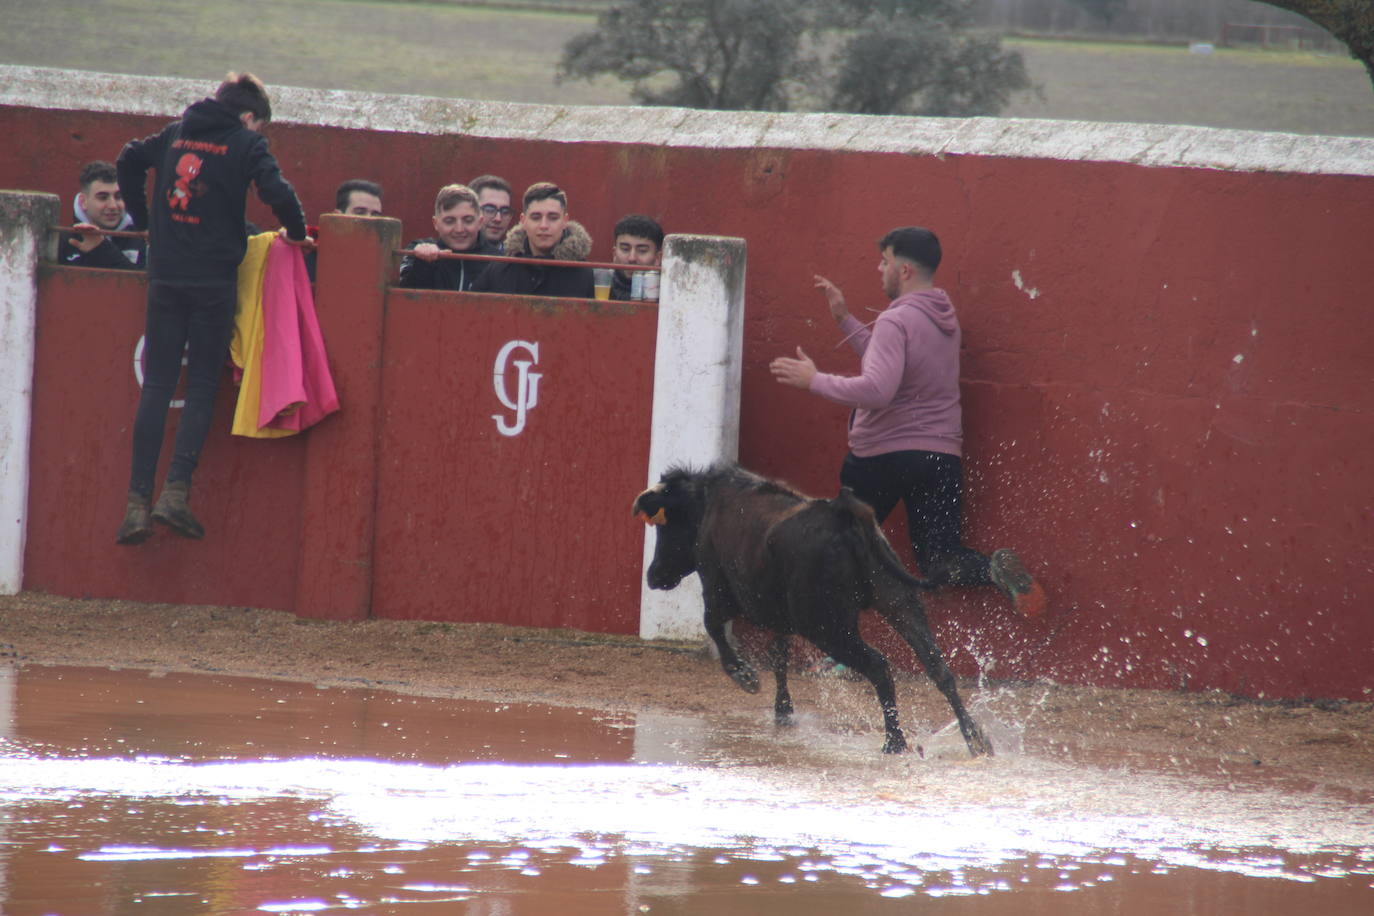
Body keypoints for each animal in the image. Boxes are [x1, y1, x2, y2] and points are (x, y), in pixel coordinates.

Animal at [632, 466, 989, 758]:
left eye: (664, 527)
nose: (653, 576)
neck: (709, 503)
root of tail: (845, 515)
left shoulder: (716, 585)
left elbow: (714, 626)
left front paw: (746, 677)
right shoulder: (780, 612)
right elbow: (780, 654)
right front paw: (783, 710)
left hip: (827, 626)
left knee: (879, 666)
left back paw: (895, 743)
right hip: (898, 600)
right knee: (937, 667)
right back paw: (975, 739)